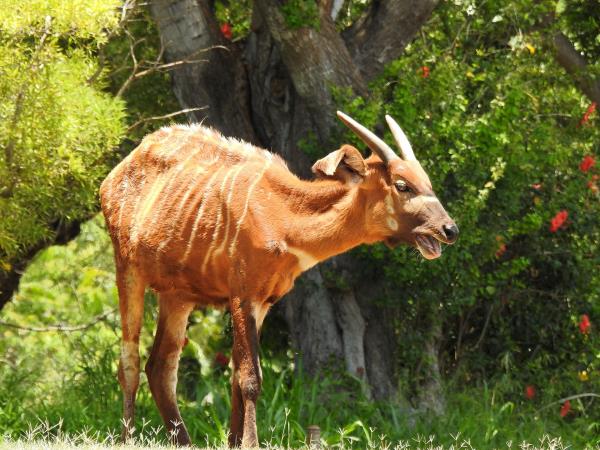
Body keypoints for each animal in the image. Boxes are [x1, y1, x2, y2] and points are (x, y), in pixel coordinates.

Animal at [99, 110, 460, 448]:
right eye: (402, 185)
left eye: (427, 182)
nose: (450, 229)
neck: (283, 216)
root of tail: (114, 175)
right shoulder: (242, 295)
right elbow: (250, 378)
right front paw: (251, 443)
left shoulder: (263, 303)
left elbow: (236, 375)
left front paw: (234, 442)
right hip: (128, 269)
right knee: (129, 361)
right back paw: (126, 439)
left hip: (177, 296)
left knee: (160, 366)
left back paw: (183, 442)